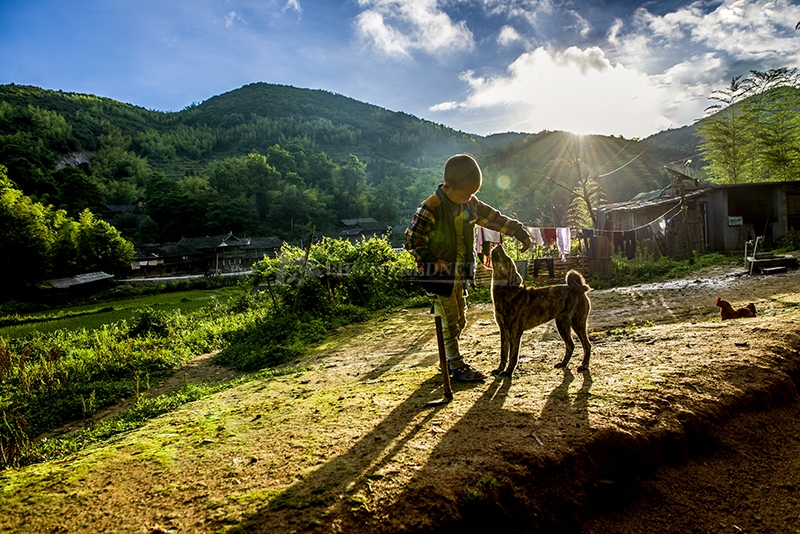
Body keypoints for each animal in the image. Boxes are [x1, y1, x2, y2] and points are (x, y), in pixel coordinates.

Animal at [488, 247, 592, 376]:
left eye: (507, 259)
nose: (499, 246)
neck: (506, 292)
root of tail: (580, 290)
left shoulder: (515, 332)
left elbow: (513, 355)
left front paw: (508, 372)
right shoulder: (503, 330)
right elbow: (503, 353)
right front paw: (499, 369)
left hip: (578, 324)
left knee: (587, 345)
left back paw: (584, 365)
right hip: (562, 325)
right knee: (570, 345)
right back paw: (563, 363)